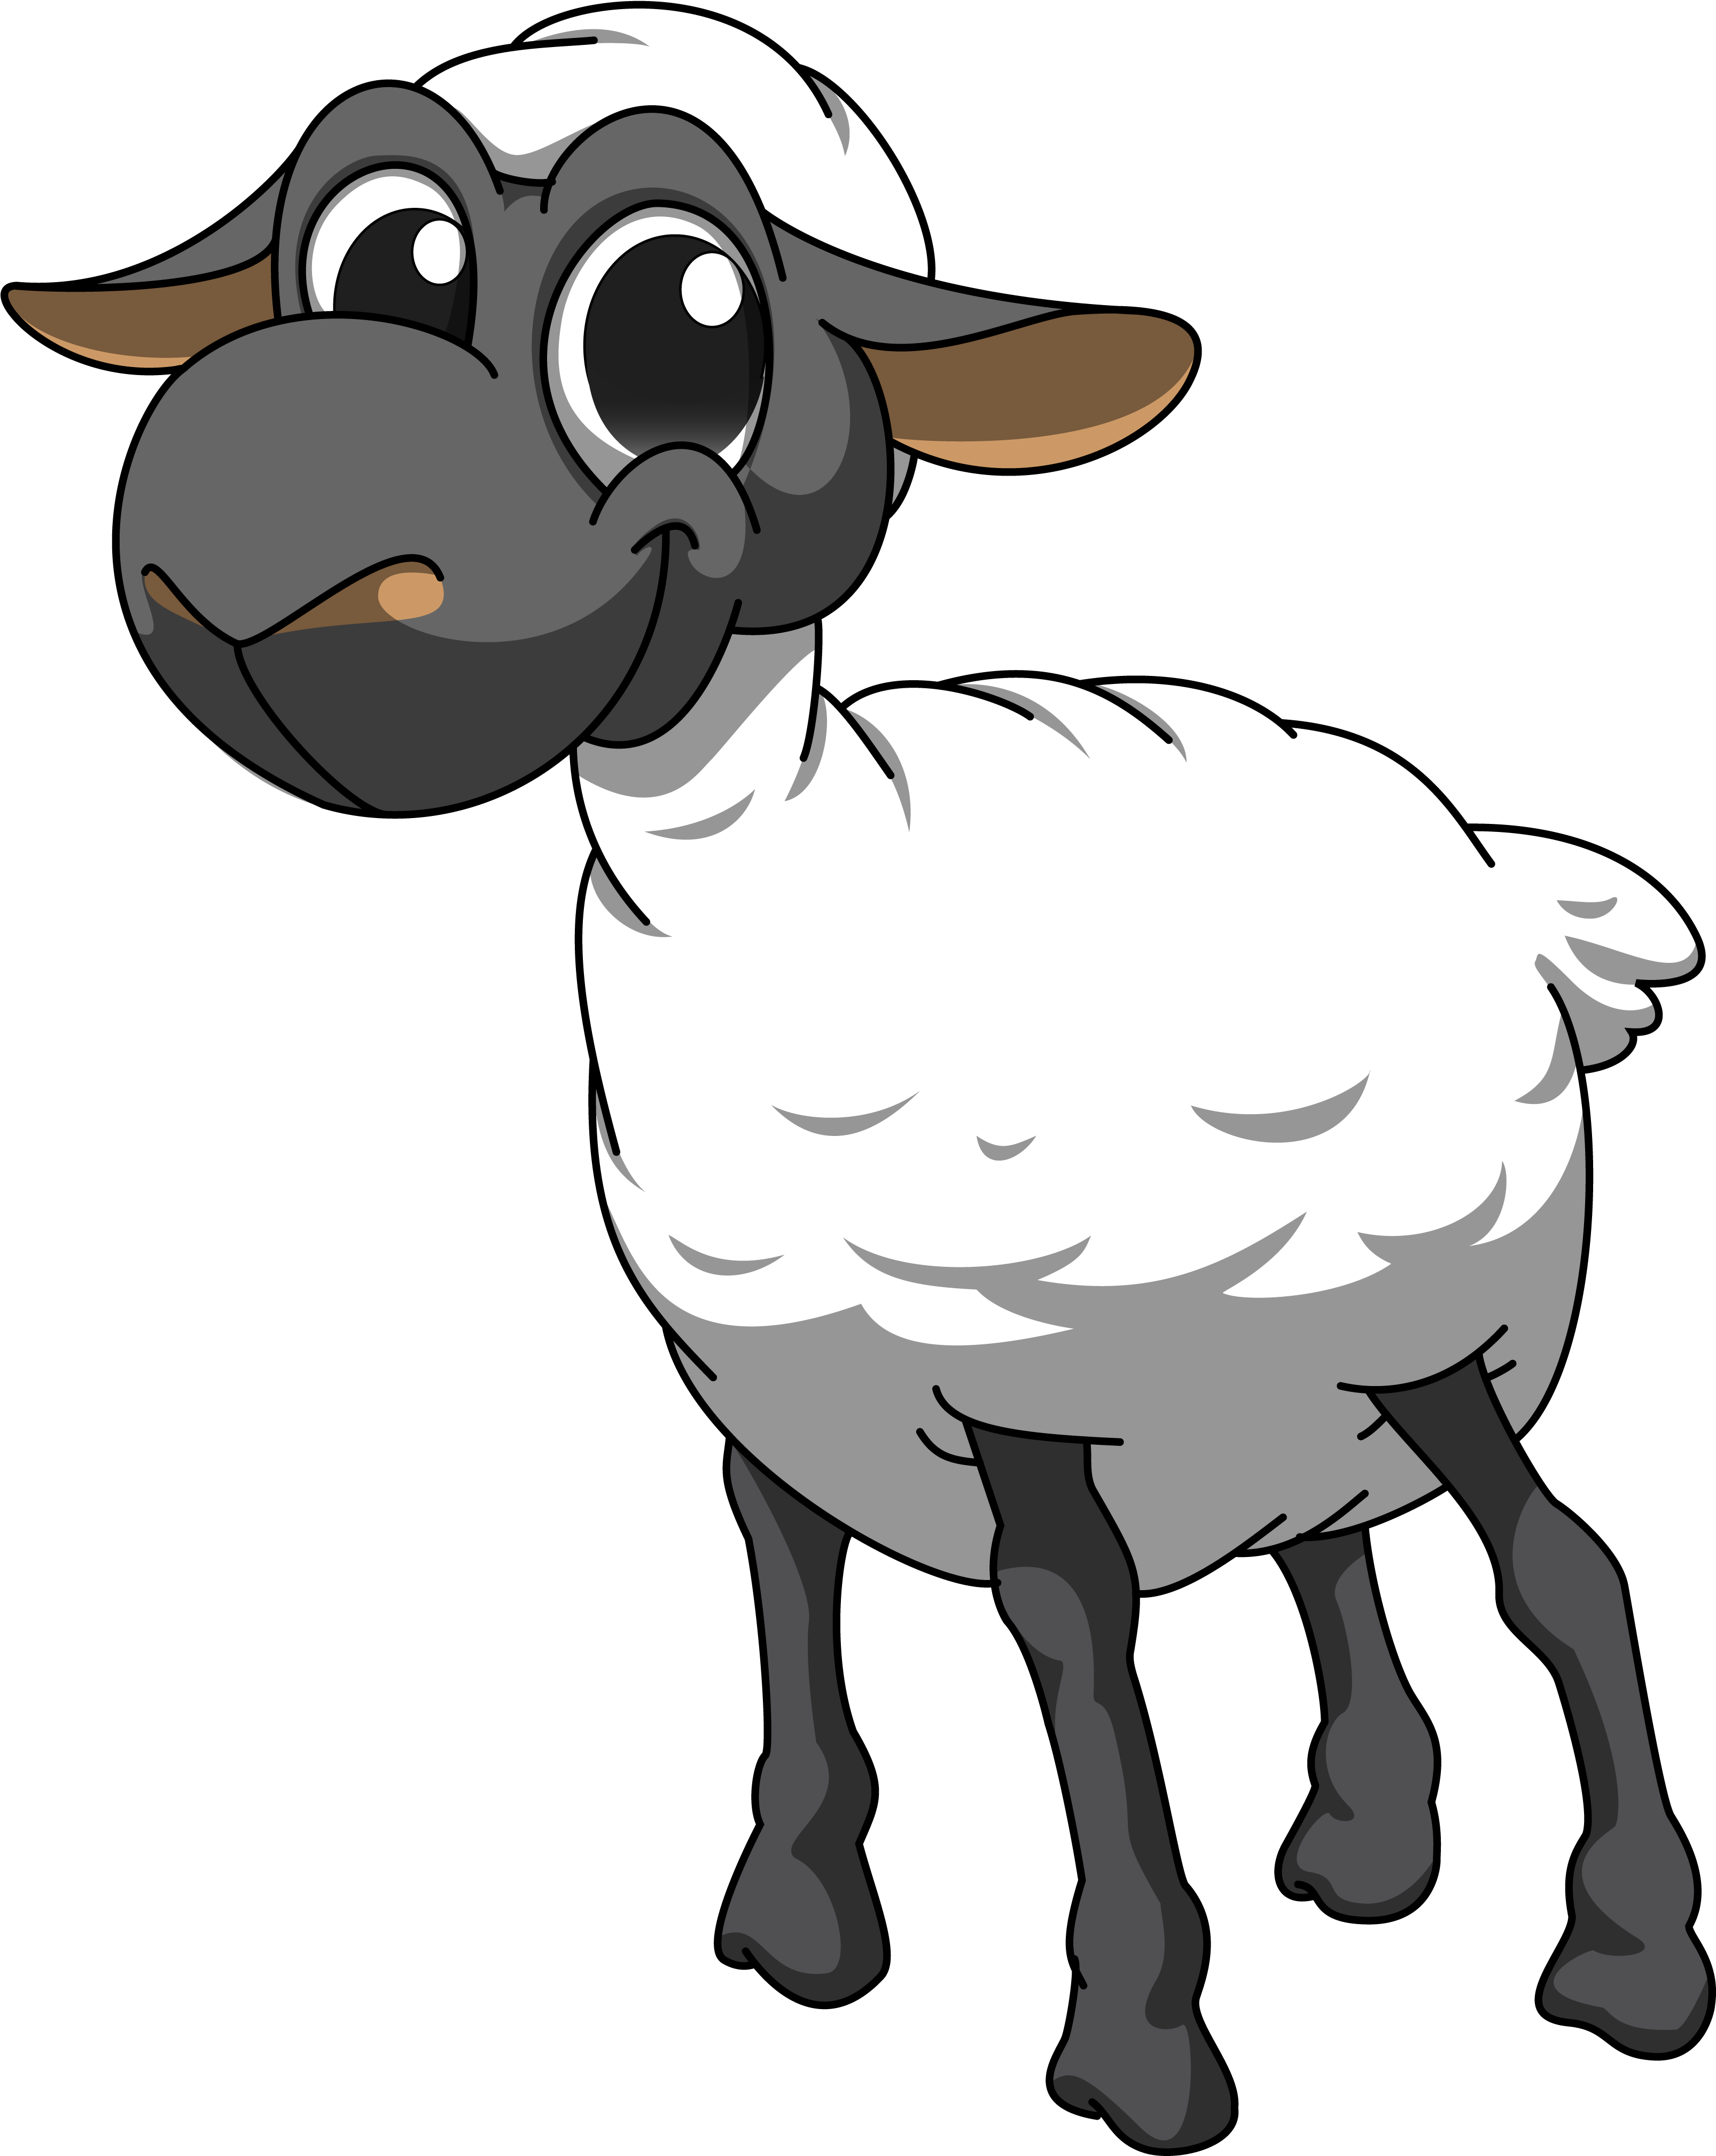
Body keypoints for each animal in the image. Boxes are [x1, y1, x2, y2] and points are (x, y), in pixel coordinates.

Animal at [12, 11, 1703, 2142]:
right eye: (377, 261)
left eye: (674, 322)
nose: (241, 568)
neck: (804, 872)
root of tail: (1489, 863)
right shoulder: (776, 1383)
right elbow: (790, 1584)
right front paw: (798, 1918)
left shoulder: (1017, 1381)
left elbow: (1068, 1620)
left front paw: (1134, 2040)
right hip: (1298, 1361)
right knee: (1332, 1552)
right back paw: (1368, 1841)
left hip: (1421, 1313)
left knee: (1554, 1562)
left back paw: (1631, 1957)